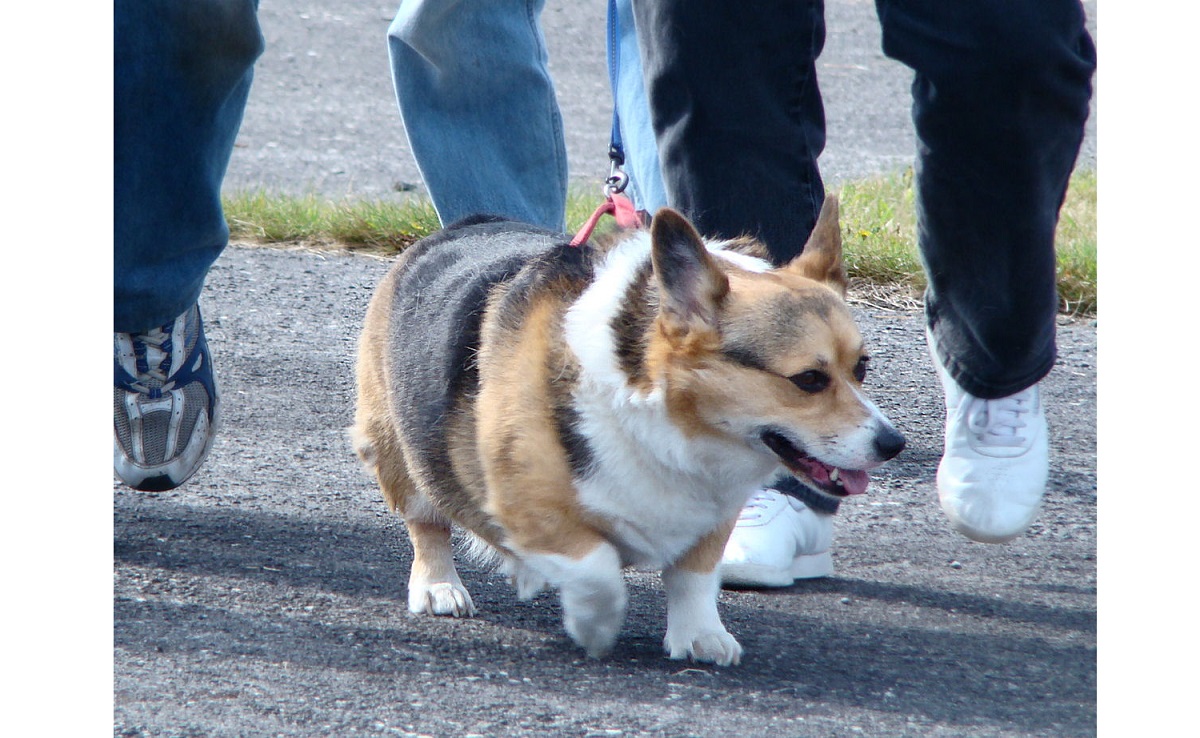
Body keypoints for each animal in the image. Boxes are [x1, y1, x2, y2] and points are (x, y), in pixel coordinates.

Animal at [350, 198, 902, 672]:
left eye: (862, 368)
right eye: (809, 379)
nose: (892, 444)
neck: (663, 412)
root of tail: (465, 226)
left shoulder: (713, 512)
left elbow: (694, 578)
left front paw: (701, 635)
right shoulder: (533, 500)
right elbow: (595, 567)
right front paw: (595, 623)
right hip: (400, 451)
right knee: (428, 523)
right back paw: (439, 586)